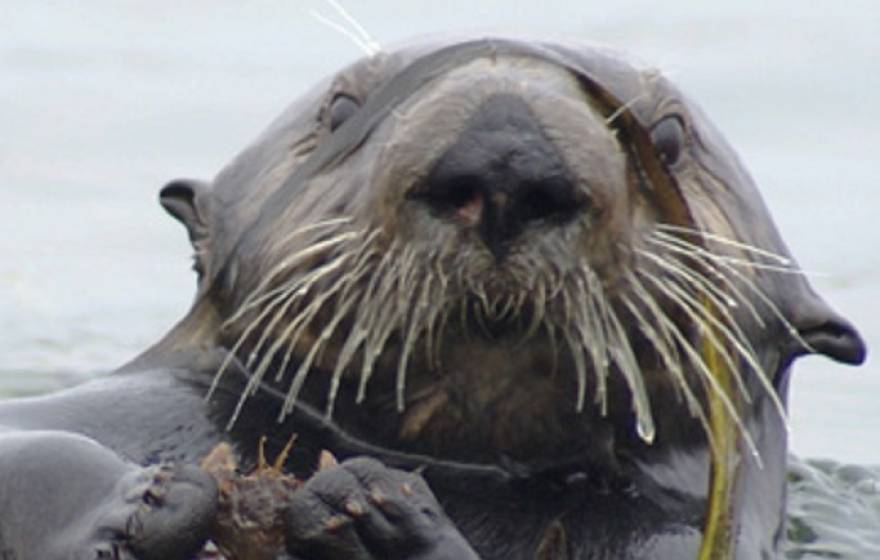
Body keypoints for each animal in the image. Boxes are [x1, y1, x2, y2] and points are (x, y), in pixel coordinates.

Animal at [0, 37, 868, 556]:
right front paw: (140, 496)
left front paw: (373, 513)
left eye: (668, 140)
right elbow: (42, 450)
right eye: (342, 111)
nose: (507, 158)